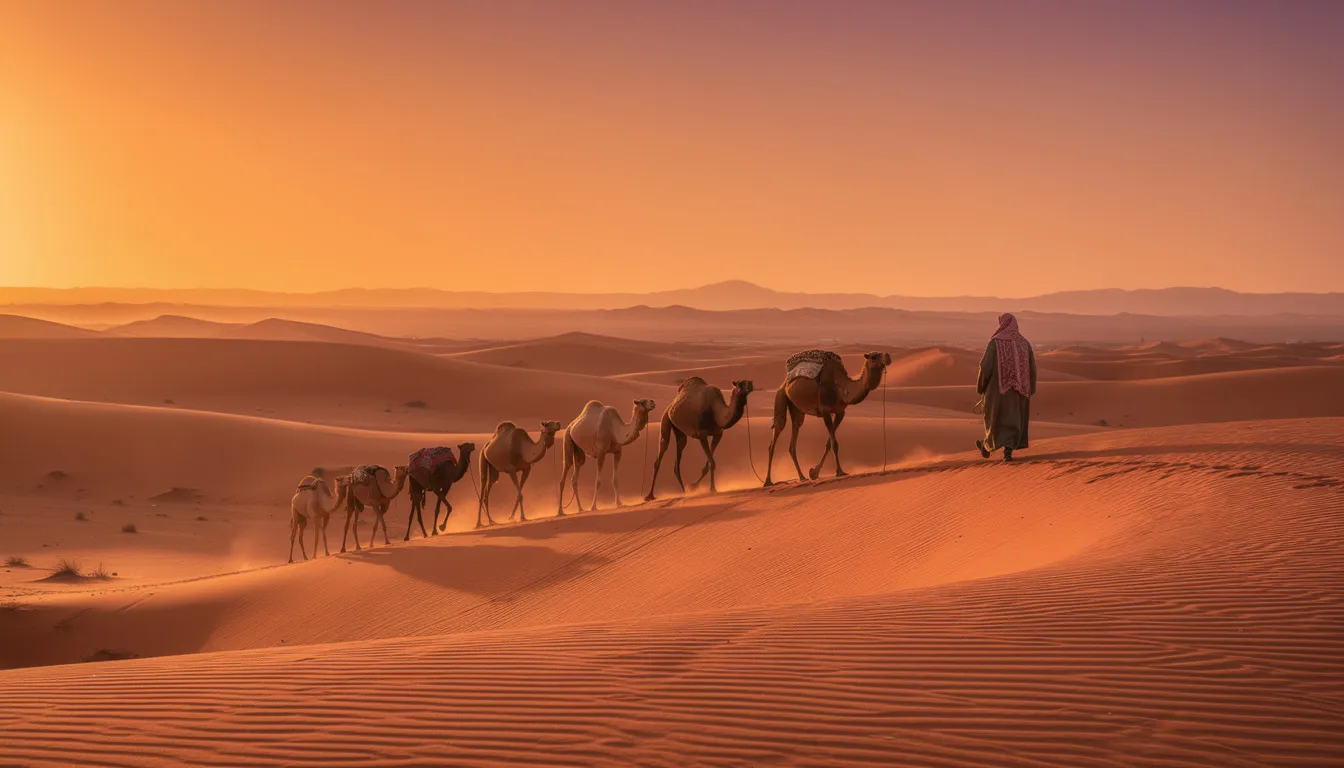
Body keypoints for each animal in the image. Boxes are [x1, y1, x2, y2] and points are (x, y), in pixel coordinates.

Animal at [763, 350, 891, 485]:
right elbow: (834, 443)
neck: (841, 386)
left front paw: (814, 472)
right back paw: (768, 481)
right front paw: (839, 472)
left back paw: (802, 477)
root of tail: (784, 383)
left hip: (797, 410)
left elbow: (829, 443)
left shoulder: (840, 412)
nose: (888, 357)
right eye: (874, 356)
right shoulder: (825, 410)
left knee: (793, 438)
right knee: (776, 432)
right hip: (780, 396)